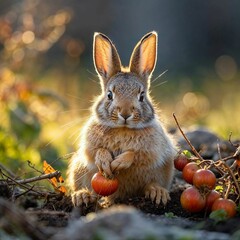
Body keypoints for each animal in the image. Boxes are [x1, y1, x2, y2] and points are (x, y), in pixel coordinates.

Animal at [67, 31, 176, 206]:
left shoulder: (152, 150)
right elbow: (98, 151)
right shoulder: (89, 147)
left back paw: (157, 193)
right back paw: (82, 196)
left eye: (142, 96)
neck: (122, 128)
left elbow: (135, 155)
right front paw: (105, 162)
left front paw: (118, 163)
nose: (125, 114)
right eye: (109, 95)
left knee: (151, 184)